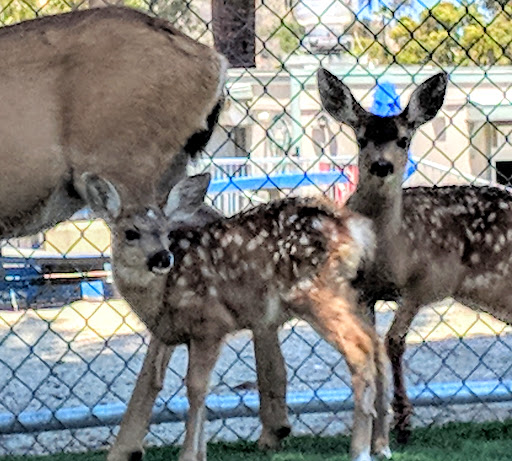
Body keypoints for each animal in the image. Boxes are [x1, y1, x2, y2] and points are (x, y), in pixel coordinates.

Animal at [83, 172, 388, 460]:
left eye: (166, 232)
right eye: (130, 233)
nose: (162, 258)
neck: (162, 295)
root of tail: (354, 229)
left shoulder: (210, 323)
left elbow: (195, 388)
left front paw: (189, 455)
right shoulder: (180, 333)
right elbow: (192, 387)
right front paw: (200, 453)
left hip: (315, 293)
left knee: (360, 348)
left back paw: (360, 450)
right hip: (348, 292)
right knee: (377, 344)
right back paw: (381, 445)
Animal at [318, 68, 512, 442]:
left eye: (404, 140)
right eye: (361, 139)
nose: (382, 166)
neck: (391, 250)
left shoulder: (426, 282)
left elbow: (394, 342)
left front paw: (403, 422)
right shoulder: (362, 292)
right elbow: (372, 349)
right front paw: (377, 424)